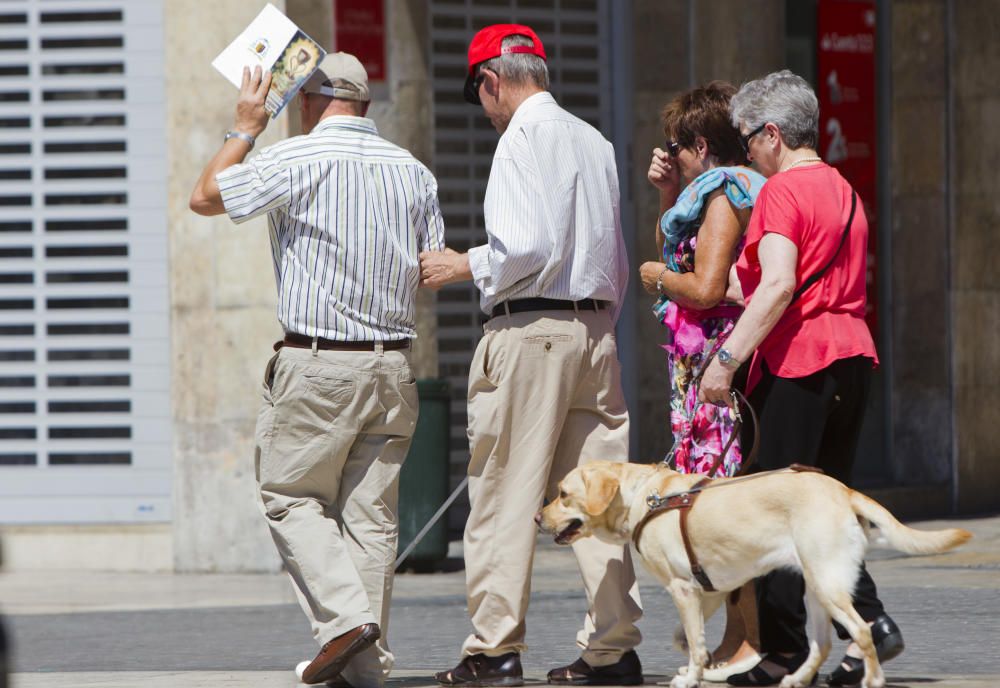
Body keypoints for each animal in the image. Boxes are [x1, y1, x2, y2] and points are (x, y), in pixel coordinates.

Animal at [536, 460, 972, 688]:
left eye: (562, 493)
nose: (537, 517)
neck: (646, 497)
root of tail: (843, 489)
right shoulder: (707, 589)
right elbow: (691, 638)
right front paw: (697, 664)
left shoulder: (683, 588)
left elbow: (694, 639)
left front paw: (692, 675)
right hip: (816, 588)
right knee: (821, 644)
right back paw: (796, 678)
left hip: (827, 583)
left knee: (862, 631)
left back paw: (871, 679)